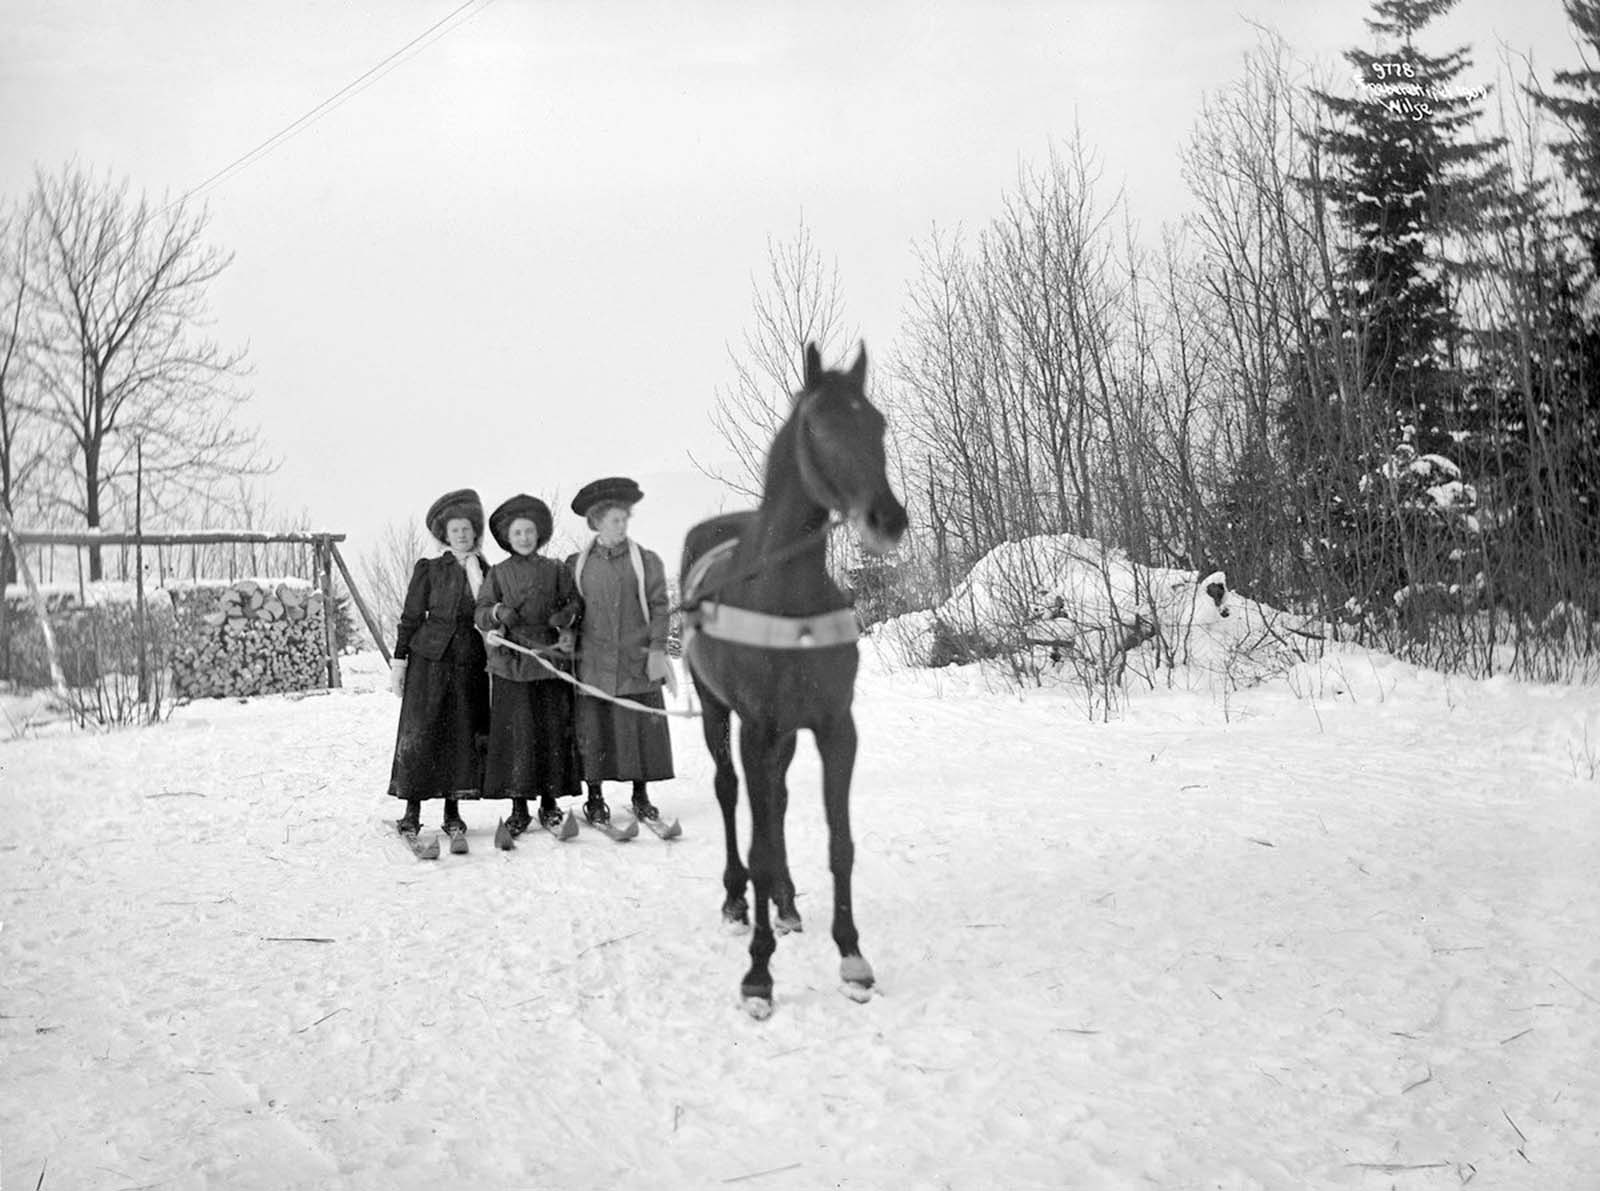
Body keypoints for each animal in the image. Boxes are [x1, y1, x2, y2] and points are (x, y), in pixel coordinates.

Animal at [678, 339, 908, 1018]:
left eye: (878, 423)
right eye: (819, 426)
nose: (888, 519)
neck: (785, 594)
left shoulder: (835, 727)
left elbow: (840, 843)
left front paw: (852, 959)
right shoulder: (755, 726)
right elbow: (756, 842)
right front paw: (759, 976)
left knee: (775, 801)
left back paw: (782, 901)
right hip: (717, 714)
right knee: (732, 796)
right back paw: (737, 901)